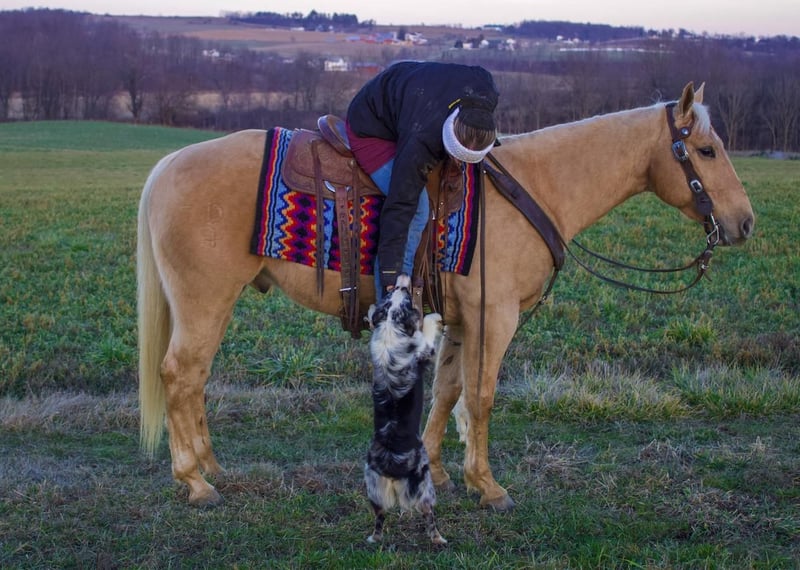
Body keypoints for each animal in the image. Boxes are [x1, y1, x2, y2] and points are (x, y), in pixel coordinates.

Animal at [137, 82, 754, 510]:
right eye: (704, 150)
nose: (744, 223)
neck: (533, 188)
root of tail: (167, 165)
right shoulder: (493, 316)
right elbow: (480, 397)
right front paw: (487, 486)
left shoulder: (461, 321)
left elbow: (448, 391)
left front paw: (432, 471)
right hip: (204, 300)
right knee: (180, 374)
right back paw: (194, 481)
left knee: (194, 378)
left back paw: (211, 467)